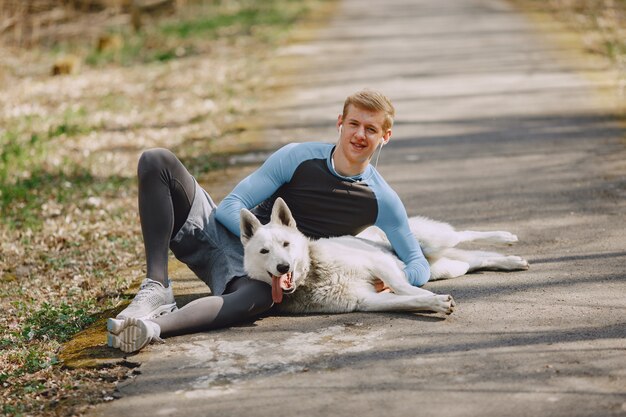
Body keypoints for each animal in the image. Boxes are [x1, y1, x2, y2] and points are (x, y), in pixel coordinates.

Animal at [239, 197, 528, 312]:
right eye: (264, 251)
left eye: (286, 244)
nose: (283, 268)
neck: (313, 275)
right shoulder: (367, 301)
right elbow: (407, 300)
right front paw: (433, 303)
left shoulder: (378, 263)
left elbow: (404, 288)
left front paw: (431, 297)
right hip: (445, 267)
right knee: (477, 259)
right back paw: (511, 262)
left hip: (433, 242)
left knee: (465, 234)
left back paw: (505, 237)